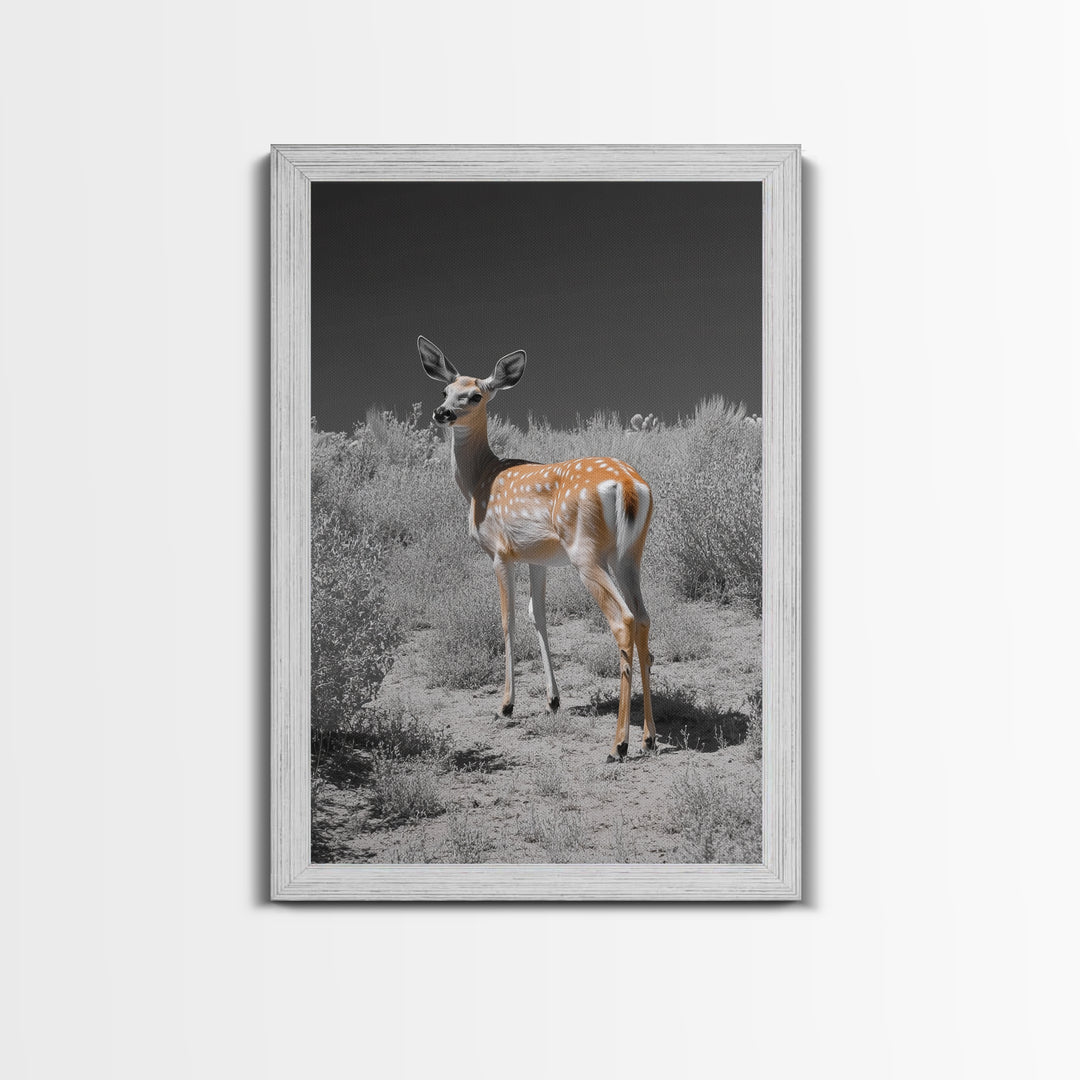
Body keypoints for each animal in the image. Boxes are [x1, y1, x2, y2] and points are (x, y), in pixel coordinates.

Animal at [419, 335, 656, 762]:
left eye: (475, 395)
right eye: (445, 390)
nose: (441, 412)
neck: (479, 480)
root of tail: (630, 486)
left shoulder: (500, 552)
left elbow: (508, 619)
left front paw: (506, 705)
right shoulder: (538, 559)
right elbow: (539, 617)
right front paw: (552, 700)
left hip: (585, 553)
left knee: (623, 619)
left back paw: (618, 744)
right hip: (629, 554)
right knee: (643, 617)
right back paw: (649, 737)